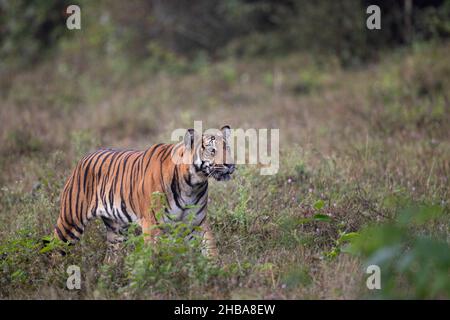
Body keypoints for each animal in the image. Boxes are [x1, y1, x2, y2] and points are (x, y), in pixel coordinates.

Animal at [53, 125, 236, 258]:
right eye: (212, 151)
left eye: (228, 149)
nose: (230, 165)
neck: (192, 184)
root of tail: (83, 158)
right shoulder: (152, 225)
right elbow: (155, 258)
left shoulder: (198, 222)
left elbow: (211, 249)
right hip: (70, 222)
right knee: (55, 248)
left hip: (116, 232)